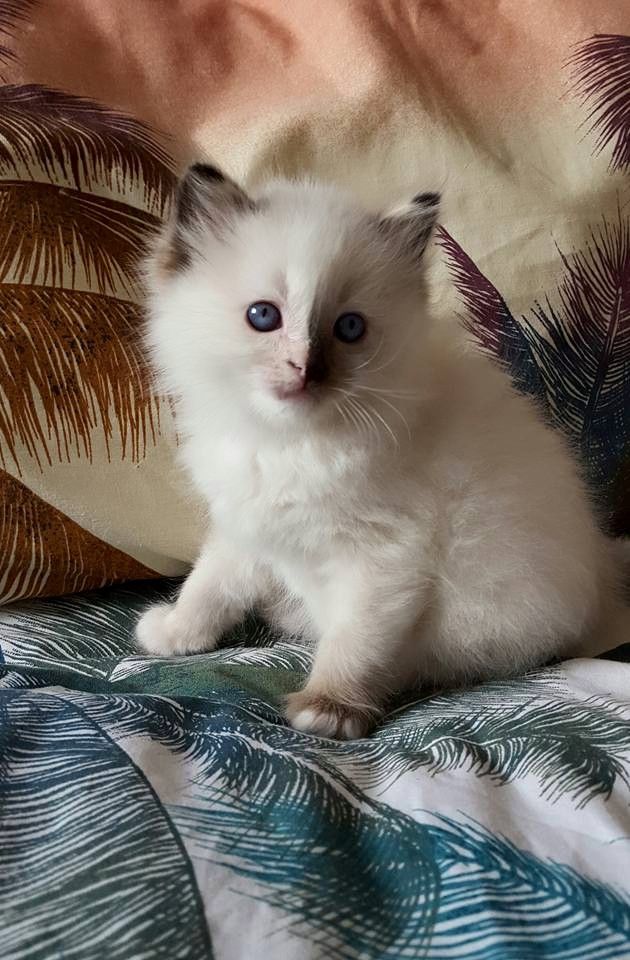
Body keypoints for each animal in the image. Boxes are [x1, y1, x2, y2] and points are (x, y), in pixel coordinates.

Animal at [136, 165, 628, 740]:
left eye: (349, 328)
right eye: (263, 317)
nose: (307, 370)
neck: (290, 445)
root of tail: (602, 571)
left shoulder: (385, 558)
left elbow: (354, 642)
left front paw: (329, 708)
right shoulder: (247, 523)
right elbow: (209, 585)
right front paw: (176, 632)